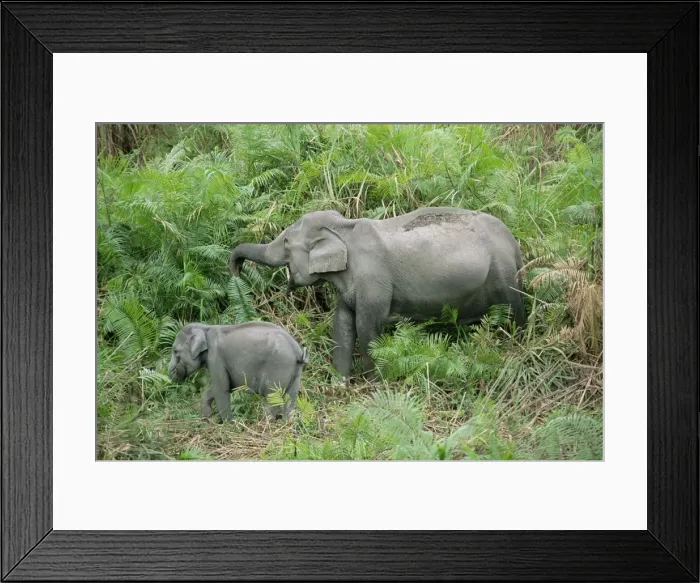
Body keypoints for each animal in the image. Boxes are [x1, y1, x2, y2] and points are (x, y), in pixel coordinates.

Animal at [168, 321, 309, 422]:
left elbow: (221, 388)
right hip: (295, 371)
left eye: (175, 351)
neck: (205, 328)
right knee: (291, 397)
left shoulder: (215, 357)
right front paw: (206, 417)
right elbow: (215, 388)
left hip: (278, 366)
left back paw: (265, 423)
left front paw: (227, 424)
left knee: (272, 397)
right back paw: (286, 423)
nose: (175, 369)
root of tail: (298, 350)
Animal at [229, 206, 525, 382]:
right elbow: (342, 325)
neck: (343, 227)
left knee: (514, 315)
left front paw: (371, 384)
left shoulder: (372, 281)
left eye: (287, 242)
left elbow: (367, 327)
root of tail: (513, 241)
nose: (236, 269)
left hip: (504, 278)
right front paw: (340, 382)